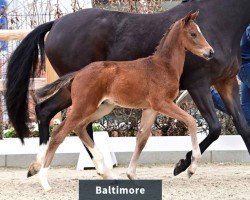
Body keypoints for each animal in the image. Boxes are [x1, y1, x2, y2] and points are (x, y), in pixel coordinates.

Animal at [32, 11, 213, 191]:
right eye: (193, 33)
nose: (210, 52)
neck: (163, 67)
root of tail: (78, 73)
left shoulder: (150, 109)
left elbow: (142, 139)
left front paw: (132, 176)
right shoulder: (162, 103)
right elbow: (191, 121)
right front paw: (191, 168)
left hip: (102, 108)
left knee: (79, 127)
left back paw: (108, 174)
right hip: (84, 106)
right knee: (59, 133)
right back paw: (44, 180)